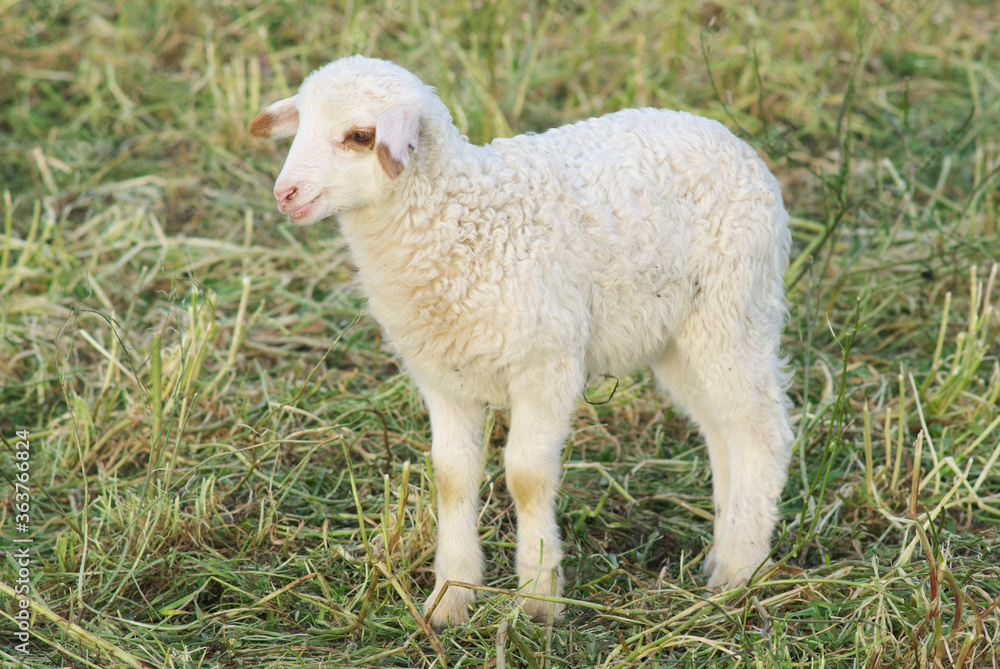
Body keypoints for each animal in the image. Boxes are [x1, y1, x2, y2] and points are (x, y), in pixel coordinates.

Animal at [249, 55, 793, 629]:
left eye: (359, 135)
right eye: (302, 122)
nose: (285, 194)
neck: (465, 221)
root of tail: (729, 139)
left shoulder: (546, 366)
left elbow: (527, 477)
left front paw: (538, 595)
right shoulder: (443, 377)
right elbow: (451, 477)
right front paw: (451, 599)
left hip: (734, 307)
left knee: (761, 430)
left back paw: (740, 571)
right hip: (678, 338)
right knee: (722, 431)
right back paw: (723, 553)